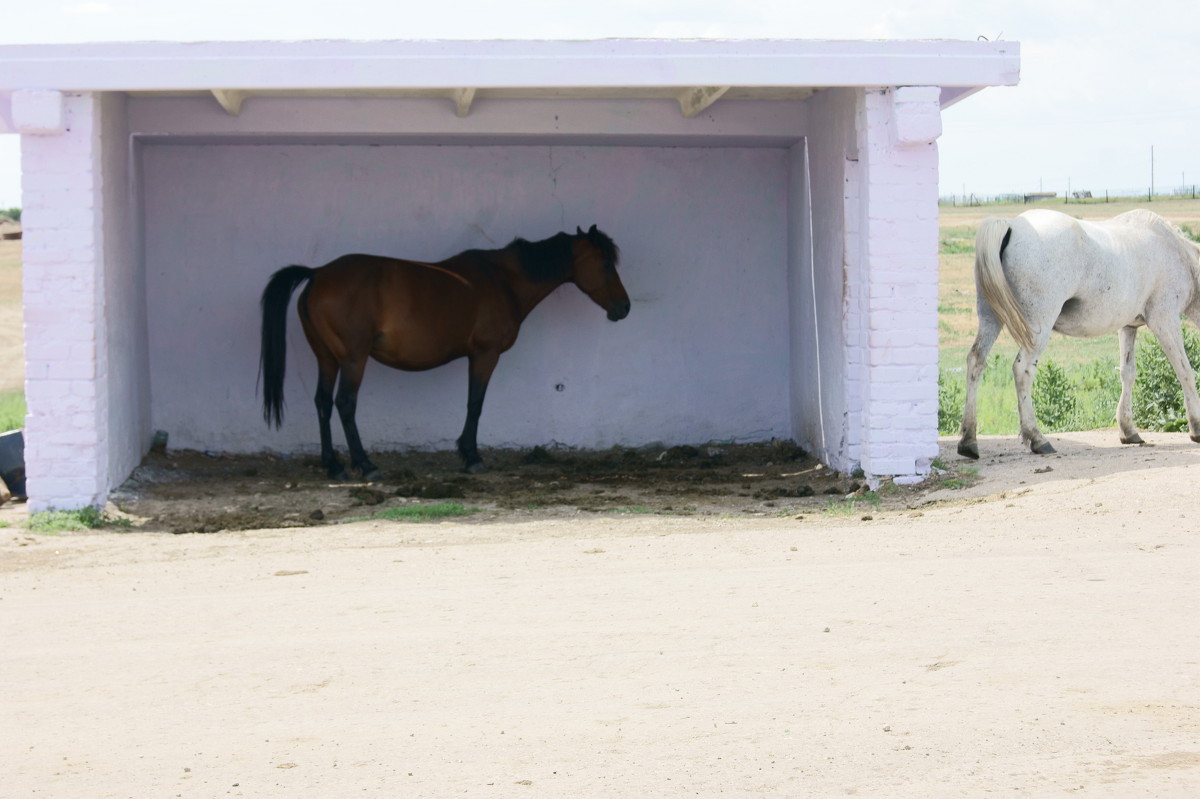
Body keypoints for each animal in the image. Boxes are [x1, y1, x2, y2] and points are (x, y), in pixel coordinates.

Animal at [259, 221, 633, 479]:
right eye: (605, 264)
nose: (624, 307)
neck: (503, 280)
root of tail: (318, 273)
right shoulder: (485, 355)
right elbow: (475, 404)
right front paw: (471, 457)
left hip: (327, 359)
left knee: (323, 403)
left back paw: (334, 466)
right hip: (353, 359)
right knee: (345, 404)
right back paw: (365, 465)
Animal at [955, 208, 1200, 458]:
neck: (1175, 251)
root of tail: (1011, 225)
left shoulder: (1128, 327)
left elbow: (1128, 373)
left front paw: (1128, 430)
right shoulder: (1164, 319)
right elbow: (1184, 370)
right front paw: (1196, 427)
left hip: (990, 319)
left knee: (976, 360)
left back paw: (968, 440)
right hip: (1037, 327)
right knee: (1022, 369)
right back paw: (1037, 438)